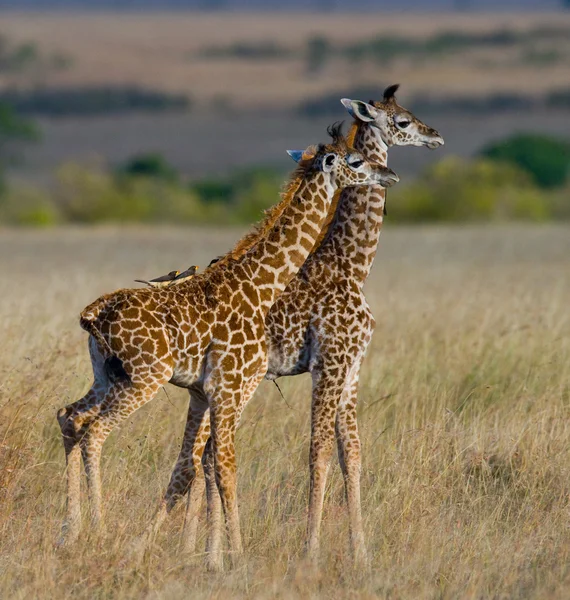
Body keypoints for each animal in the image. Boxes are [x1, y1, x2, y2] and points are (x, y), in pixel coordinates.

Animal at [55, 124, 398, 568]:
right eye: (355, 161)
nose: (389, 175)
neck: (261, 285)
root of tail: (94, 313)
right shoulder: (231, 389)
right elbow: (224, 467)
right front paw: (237, 555)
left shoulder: (209, 392)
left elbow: (207, 465)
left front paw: (218, 556)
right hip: (144, 378)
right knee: (95, 433)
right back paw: (98, 530)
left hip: (106, 376)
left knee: (70, 417)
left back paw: (70, 533)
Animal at [139, 83, 444, 564]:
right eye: (402, 121)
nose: (436, 136)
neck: (351, 264)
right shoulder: (330, 363)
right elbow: (318, 452)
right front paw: (311, 551)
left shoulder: (353, 366)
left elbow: (352, 454)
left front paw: (360, 552)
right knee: (200, 458)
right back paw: (200, 552)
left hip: (205, 389)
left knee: (195, 458)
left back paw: (195, 551)